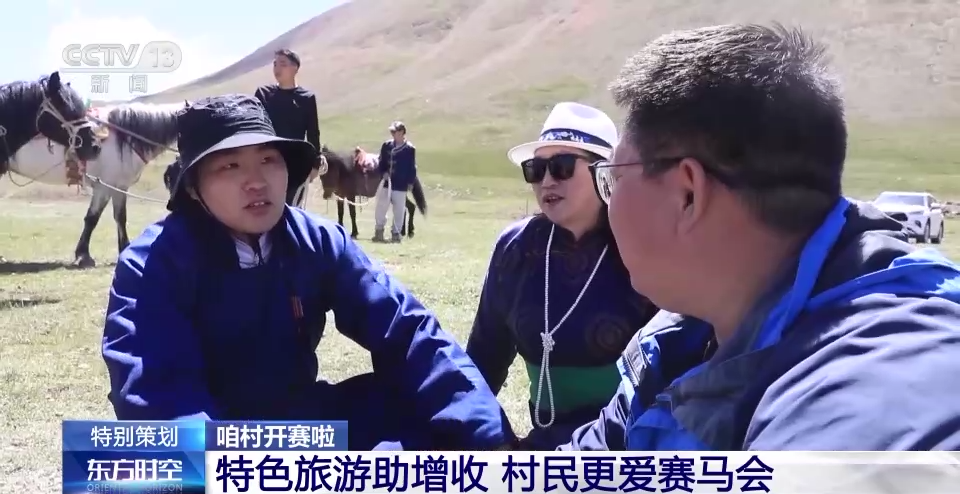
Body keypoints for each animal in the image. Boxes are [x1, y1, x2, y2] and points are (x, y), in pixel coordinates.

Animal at [8, 102, 182, 268]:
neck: (125, 138)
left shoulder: (116, 187)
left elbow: (115, 217)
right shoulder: (106, 187)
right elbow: (95, 218)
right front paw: (84, 256)